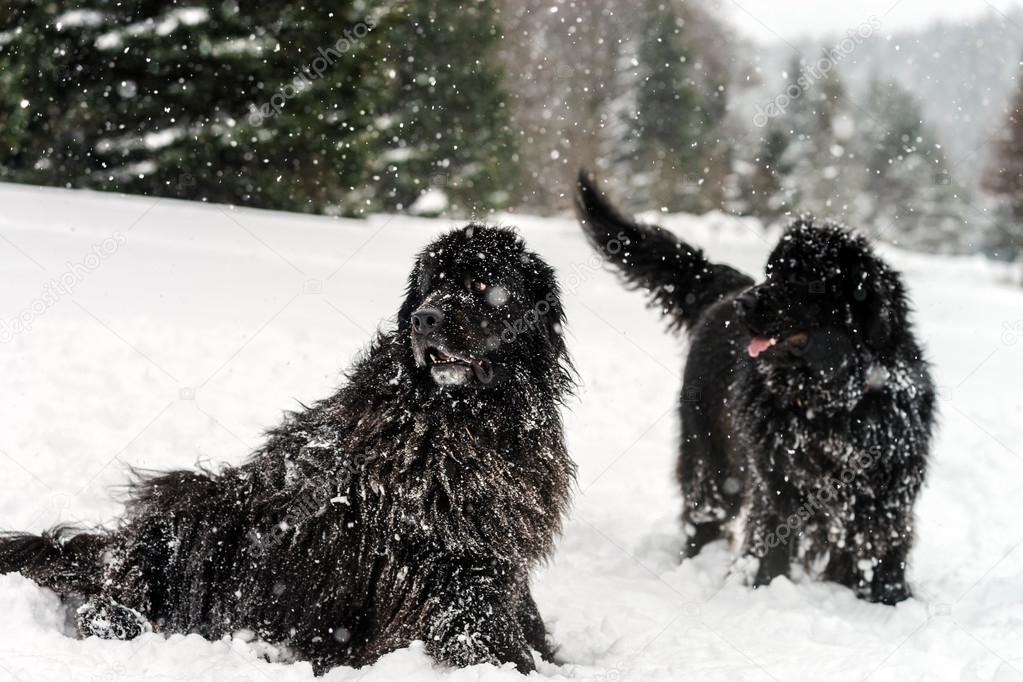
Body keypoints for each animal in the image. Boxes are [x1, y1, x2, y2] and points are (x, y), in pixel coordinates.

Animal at [0, 226, 576, 674]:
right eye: (431, 284)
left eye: (481, 285)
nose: (424, 318)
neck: (466, 419)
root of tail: (113, 548)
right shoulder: (444, 562)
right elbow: (482, 629)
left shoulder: (496, 549)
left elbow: (522, 614)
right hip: (197, 518)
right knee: (109, 607)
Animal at [576, 173, 937, 605]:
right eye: (771, 270)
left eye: (801, 278)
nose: (746, 304)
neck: (831, 402)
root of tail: (725, 291)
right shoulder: (777, 479)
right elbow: (771, 542)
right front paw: (765, 587)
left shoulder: (889, 488)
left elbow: (882, 545)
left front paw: (890, 598)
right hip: (710, 454)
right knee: (704, 511)